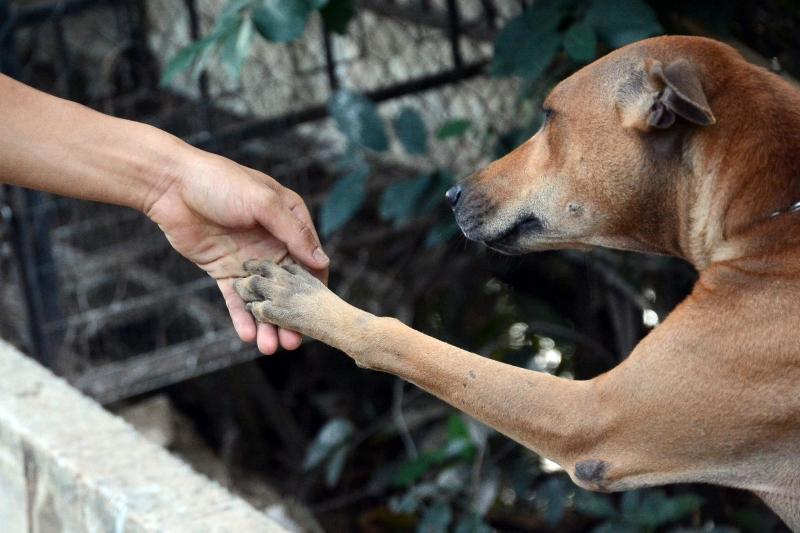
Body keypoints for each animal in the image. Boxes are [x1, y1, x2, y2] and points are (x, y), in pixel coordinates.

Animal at [234, 36, 800, 528]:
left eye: (549, 118)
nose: (450, 194)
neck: (769, 223)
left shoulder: (590, 417)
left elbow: (406, 342)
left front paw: (309, 304)